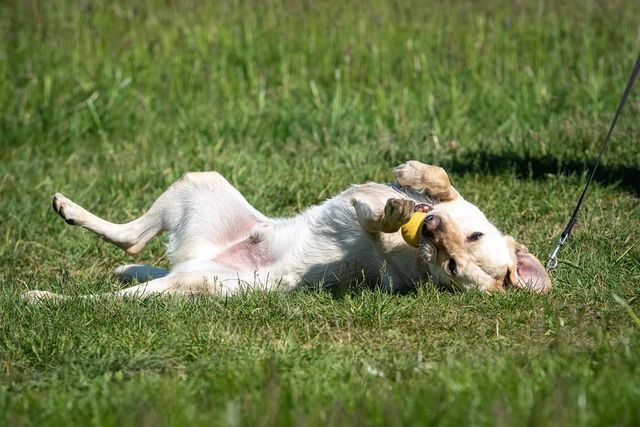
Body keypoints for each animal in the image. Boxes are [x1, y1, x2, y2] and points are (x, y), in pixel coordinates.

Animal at [25, 161, 552, 300]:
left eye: (452, 266)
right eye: (473, 238)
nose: (432, 229)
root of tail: (196, 261)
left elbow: (376, 222)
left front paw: (390, 214)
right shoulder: (446, 201)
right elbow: (440, 181)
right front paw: (413, 180)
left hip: (185, 287)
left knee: (114, 293)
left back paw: (44, 298)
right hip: (201, 184)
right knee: (132, 238)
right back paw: (73, 214)